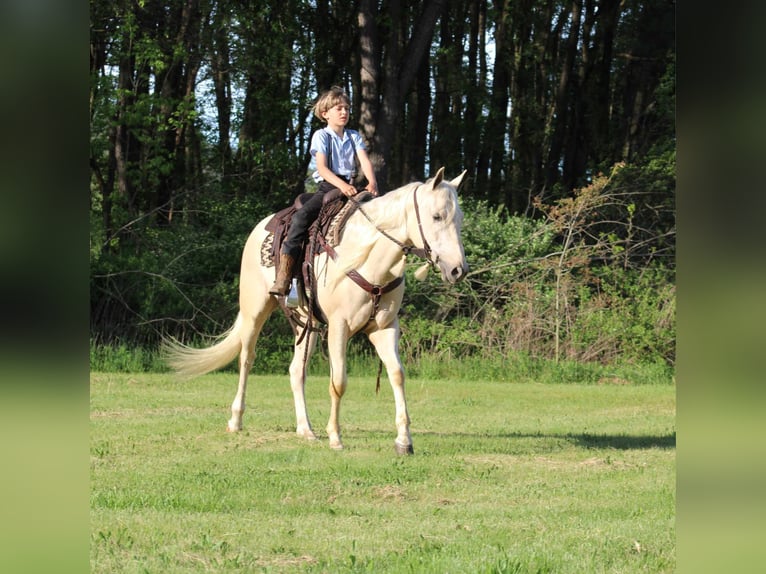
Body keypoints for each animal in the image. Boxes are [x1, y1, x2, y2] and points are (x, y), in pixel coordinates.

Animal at [164, 169, 468, 456]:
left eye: (459, 219)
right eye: (437, 216)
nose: (457, 269)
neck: (369, 258)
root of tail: (261, 226)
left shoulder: (385, 328)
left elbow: (397, 374)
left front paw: (404, 441)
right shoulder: (339, 326)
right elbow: (339, 381)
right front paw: (335, 437)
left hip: (305, 324)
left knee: (296, 370)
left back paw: (305, 429)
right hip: (255, 310)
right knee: (246, 360)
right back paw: (236, 420)